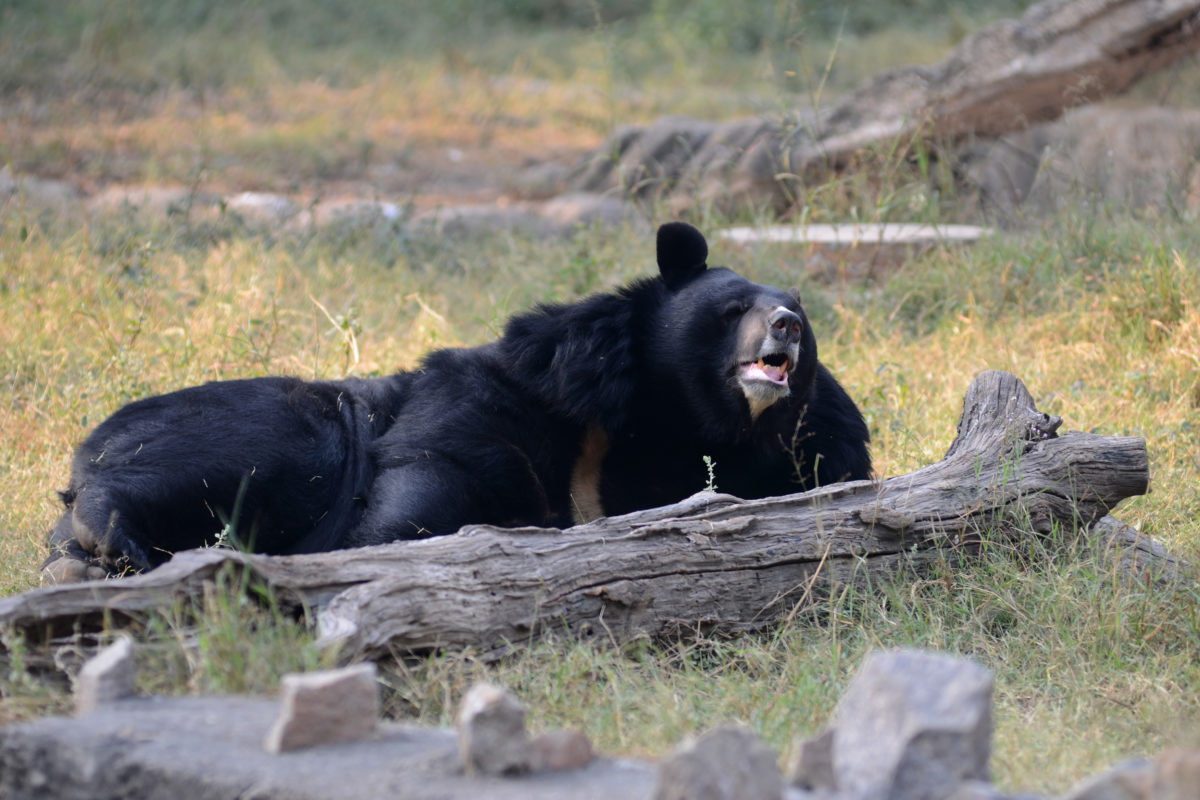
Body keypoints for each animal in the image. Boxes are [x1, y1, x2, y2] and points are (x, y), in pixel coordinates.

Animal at [44, 221, 873, 585]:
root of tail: (80, 460)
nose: (786, 325)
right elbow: (433, 471)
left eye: (800, 315)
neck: (695, 418)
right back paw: (111, 545)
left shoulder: (814, 439)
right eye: (734, 308)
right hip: (283, 431)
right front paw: (369, 547)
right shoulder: (504, 396)